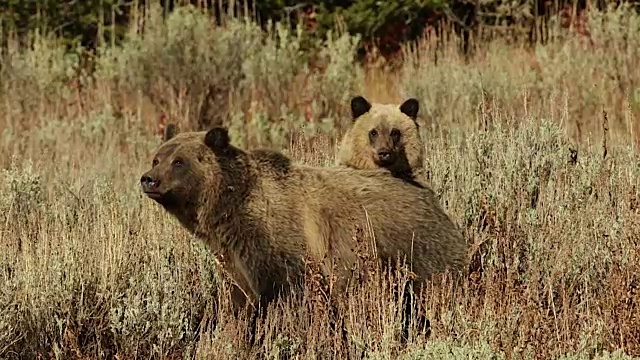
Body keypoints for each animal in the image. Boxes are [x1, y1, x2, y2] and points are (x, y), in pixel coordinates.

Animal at [140, 126, 468, 312]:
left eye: (179, 161)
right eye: (157, 157)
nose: (148, 179)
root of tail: (426, 191)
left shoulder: (282, 242)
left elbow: (286, 295)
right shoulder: (234, 255)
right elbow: (242, 296)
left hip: (417, 245)